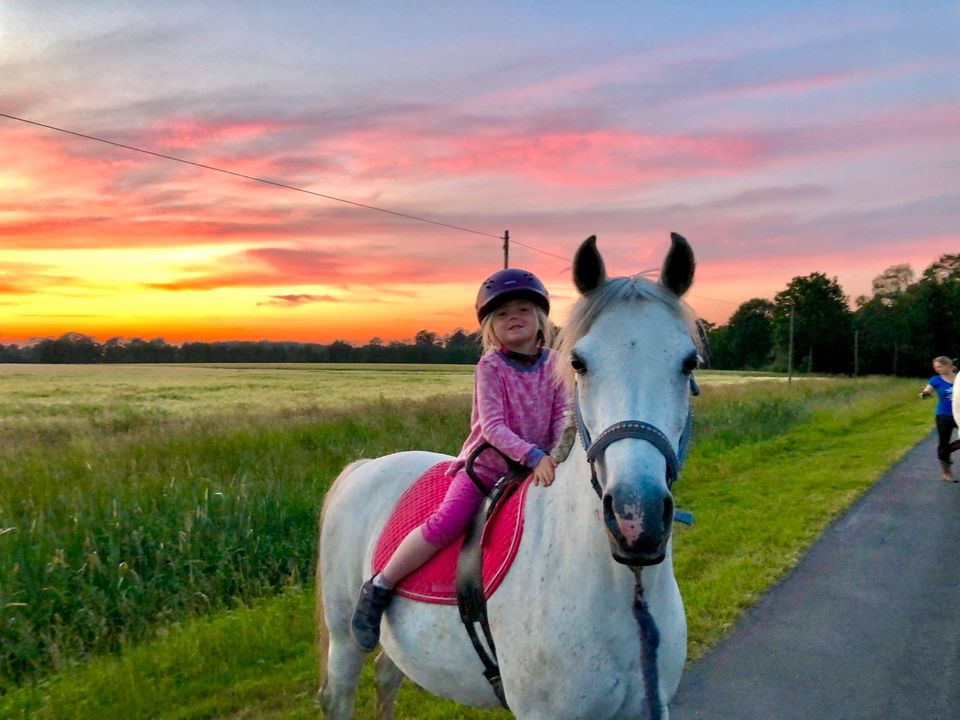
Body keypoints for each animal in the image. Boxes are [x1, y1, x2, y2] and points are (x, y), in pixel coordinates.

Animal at [318, 236, 700, 720]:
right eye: (579, 363)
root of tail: (364, 467)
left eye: (688, 362)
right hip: (344, 640)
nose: (637, 518)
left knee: (387, 676)